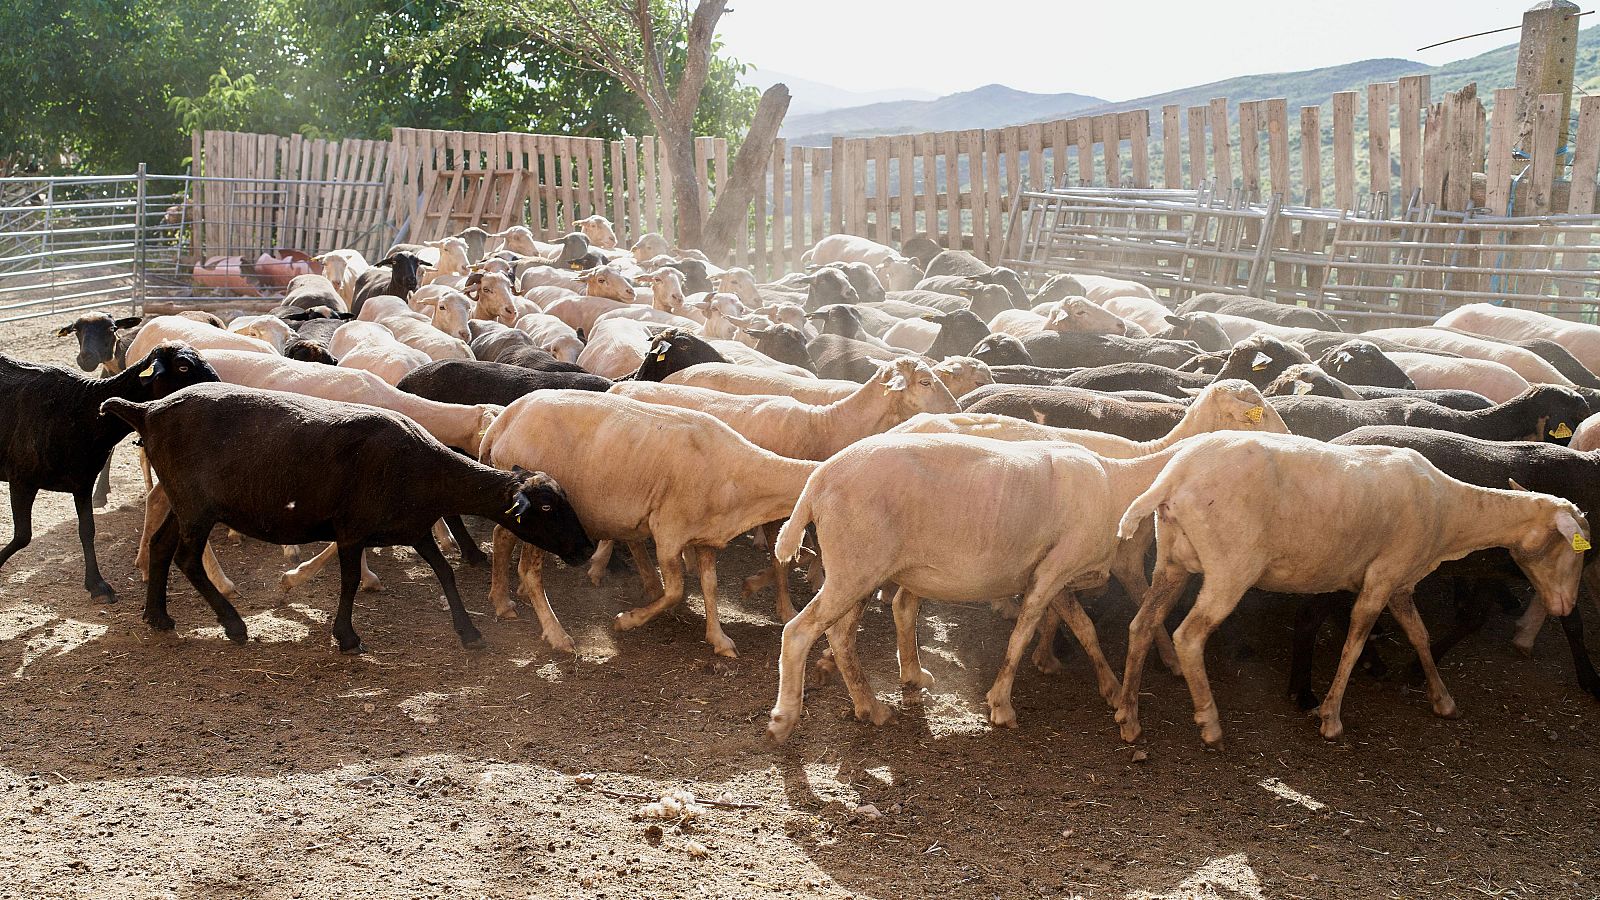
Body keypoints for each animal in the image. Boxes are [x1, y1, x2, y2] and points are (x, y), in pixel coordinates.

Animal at [0, 339, 217, 598]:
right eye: (183, 367)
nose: (217, 390)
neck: (84, 411)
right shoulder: (21, 479)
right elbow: (23, 536)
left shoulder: (83, 482)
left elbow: (87, 531)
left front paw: (97, 584)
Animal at [106, 381, 598, 646]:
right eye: (549, 507)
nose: (586, 548)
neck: (426, 470)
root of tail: (147, 410)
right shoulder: (351, 529)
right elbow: (348, 581)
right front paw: (346, 636)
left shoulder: (413, 529)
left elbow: (444, 573)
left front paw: (468, 632)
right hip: (197, 503)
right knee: (187, 558)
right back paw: (233, 624)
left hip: (182, 500)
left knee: (161, 546)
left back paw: (157, 617)